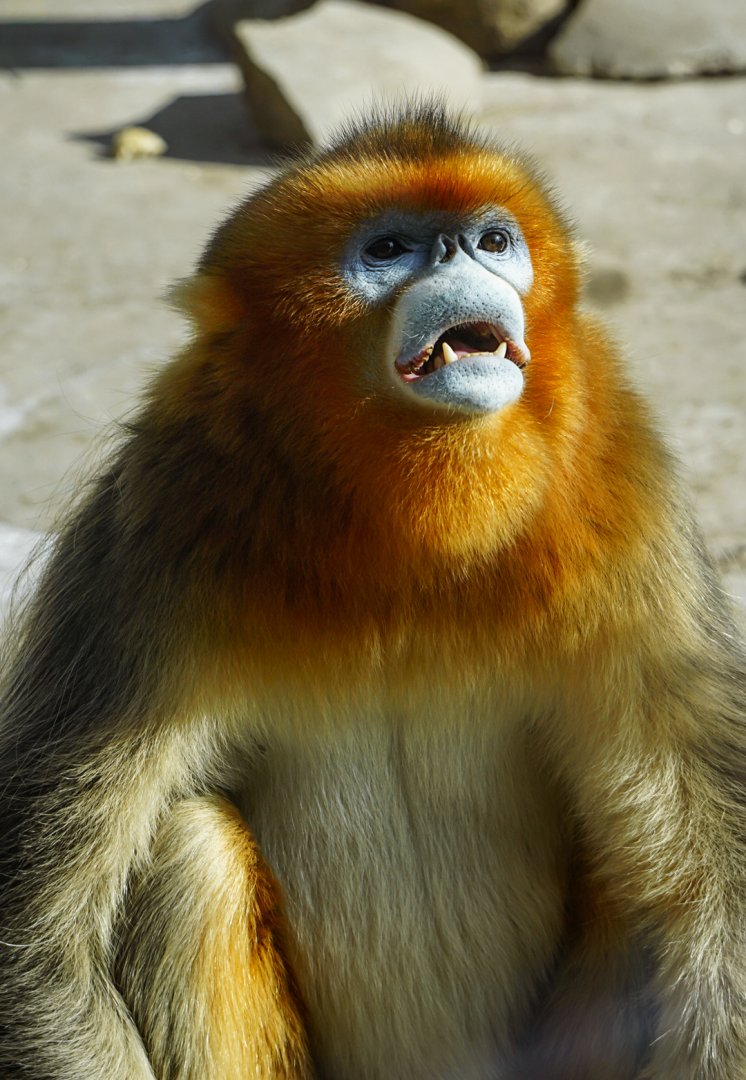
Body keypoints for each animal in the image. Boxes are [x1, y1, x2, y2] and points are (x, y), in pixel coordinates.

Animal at [0, 102, 745, 1080]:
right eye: (390, 249)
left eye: (494, 241)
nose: (462, 259)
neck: (409, 552)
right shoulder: (154, 528)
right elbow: (37, 947)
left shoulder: (627, 501)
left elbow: (717, 905)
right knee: (189, 857)